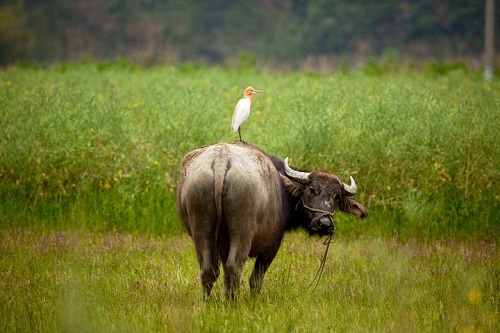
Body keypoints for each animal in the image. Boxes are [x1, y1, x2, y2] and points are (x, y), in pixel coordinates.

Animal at [177, 141, 368, 298]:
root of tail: (221, 160)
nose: (324, 224)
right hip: (242, 231)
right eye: (312, 189)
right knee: (234, 266)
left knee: (208, 270)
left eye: (337, 196)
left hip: (201, 230)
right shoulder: (272, 245)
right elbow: (256, 279)